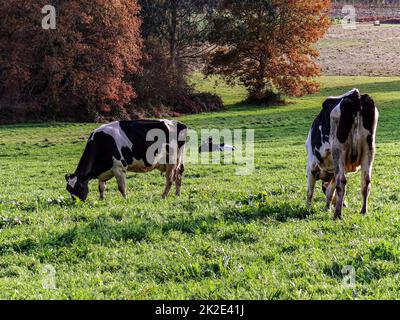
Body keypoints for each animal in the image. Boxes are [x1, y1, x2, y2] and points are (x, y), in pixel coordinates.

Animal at [306, 89, 378, 221]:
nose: (346, 205)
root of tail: (354, 94)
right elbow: (330, 191)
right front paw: (327, 207)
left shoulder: (311, 166)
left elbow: (310, 190)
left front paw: (307, 209)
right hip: (369, 148)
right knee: (366, 181)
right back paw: (363, 211)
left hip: (338, 149)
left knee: (342, 182)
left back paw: (337, 215)